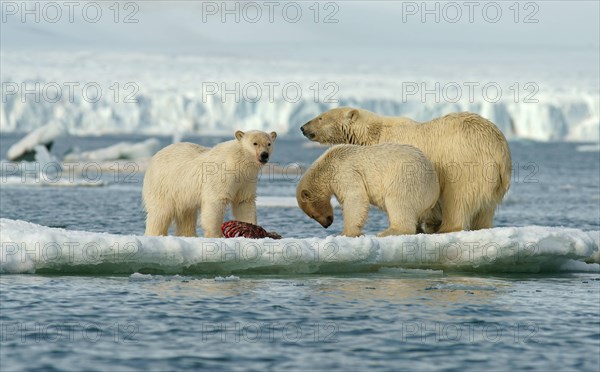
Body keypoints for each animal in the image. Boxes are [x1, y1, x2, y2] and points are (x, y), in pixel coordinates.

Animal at [143, 129, 276, 237]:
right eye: (255, 143)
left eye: (269, 143)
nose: (264, 155)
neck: (238, 163)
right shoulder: (222, 176)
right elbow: (215, 202)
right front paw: (216, 235)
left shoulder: (246, 180)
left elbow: (244, 202)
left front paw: (251, 228)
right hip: (164, 185)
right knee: (160, 213)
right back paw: (155, 234)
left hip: (182, 194)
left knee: (187, 215)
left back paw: (189, 235)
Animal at [298, 144, 438, 237]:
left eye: (312, 215)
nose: (326, 224)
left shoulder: (344, 171)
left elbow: (355, 197)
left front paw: (345, 233)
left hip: (406, 178)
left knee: (398, 202)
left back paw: (386, 232)